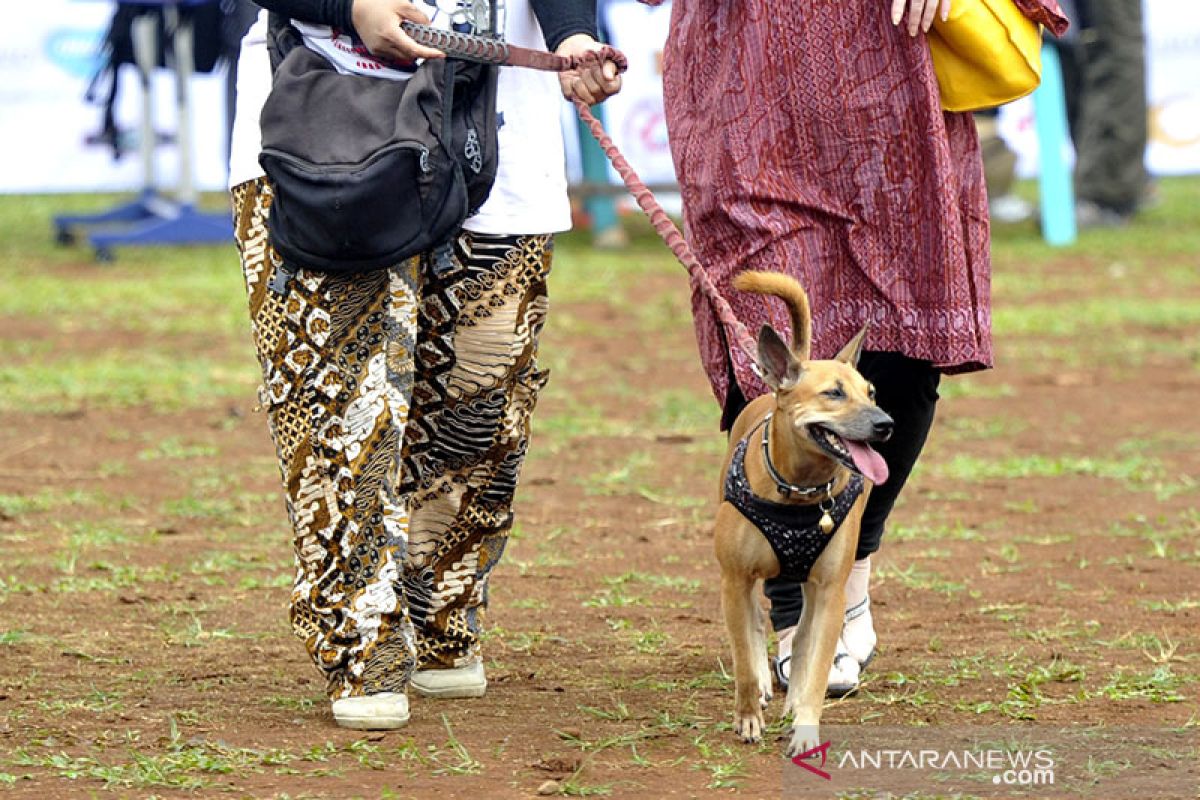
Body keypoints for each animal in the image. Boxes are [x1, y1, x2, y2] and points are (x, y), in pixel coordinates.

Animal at [710, 268, 892, 758]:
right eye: (833, 393)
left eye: (871, 392)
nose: (885, 423)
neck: (799, 489)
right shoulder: (735, 580)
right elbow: (745, 660)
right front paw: (748, 716)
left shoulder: (828, 590)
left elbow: (815, 665)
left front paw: (805, 726)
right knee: (756, 624)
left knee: (805, 634)